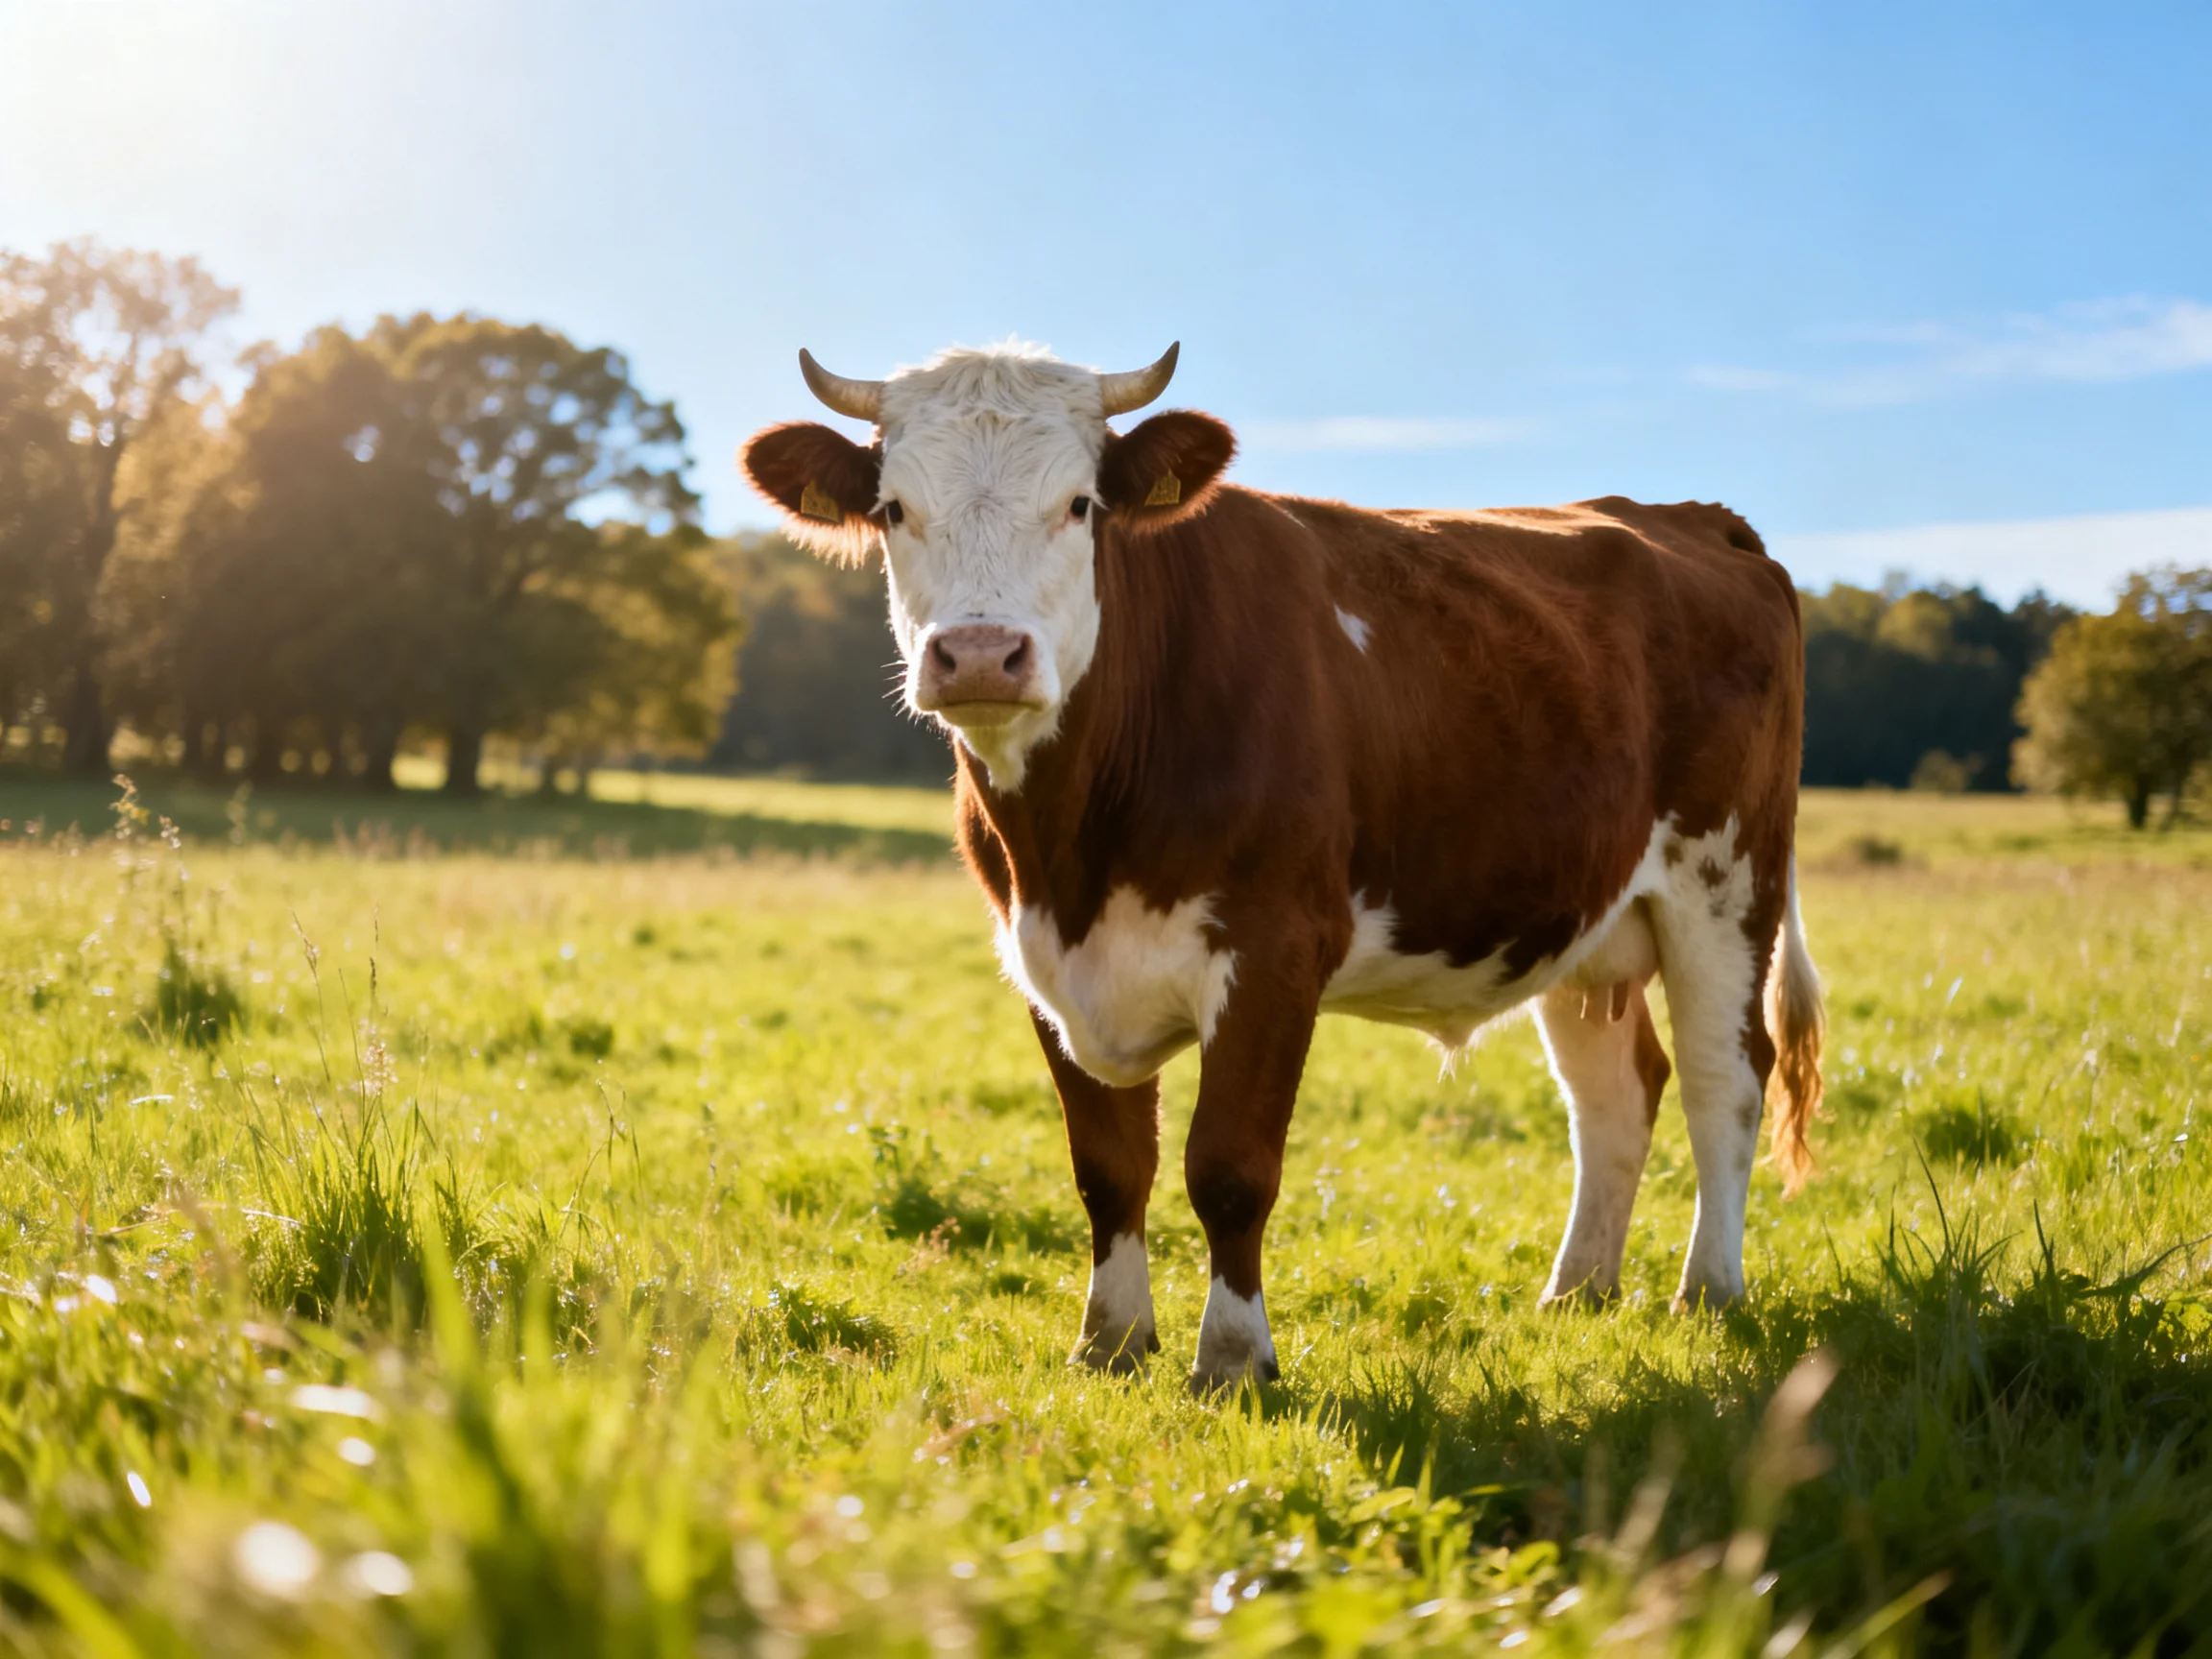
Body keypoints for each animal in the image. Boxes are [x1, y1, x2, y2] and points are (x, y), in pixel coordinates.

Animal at [742, 341, 1824, 1391]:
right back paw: (1576, 1293)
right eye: (893, 508)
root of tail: (1693, 518)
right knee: (1613, 1094)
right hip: (1586, 918)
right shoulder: (1043, 960)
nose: (977, 654)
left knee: (1724, 1078)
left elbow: (1228, 1168)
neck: (1074, 845)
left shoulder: (1274, 950)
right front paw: (1109, 1345)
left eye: (1081, 504)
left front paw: (1233, 1360)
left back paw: (1708, 1292)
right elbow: (1108, 1166)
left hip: (1727, 884)